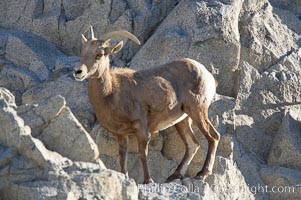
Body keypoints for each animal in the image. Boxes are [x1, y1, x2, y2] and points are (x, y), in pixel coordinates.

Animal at [74, 26, 219, 184]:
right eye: (82, 52)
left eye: (99, 54)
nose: (78, 72)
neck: (112, 92)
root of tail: (208, 75)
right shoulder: (121, 135)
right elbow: (122, 158)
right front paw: (124, 177)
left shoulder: (142, 129)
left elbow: (143, 154)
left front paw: (148, 180)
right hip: (183, 120)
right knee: (193, 144)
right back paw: (174, 176)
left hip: (197, 110)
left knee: (213, 137)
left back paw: (202, 174)